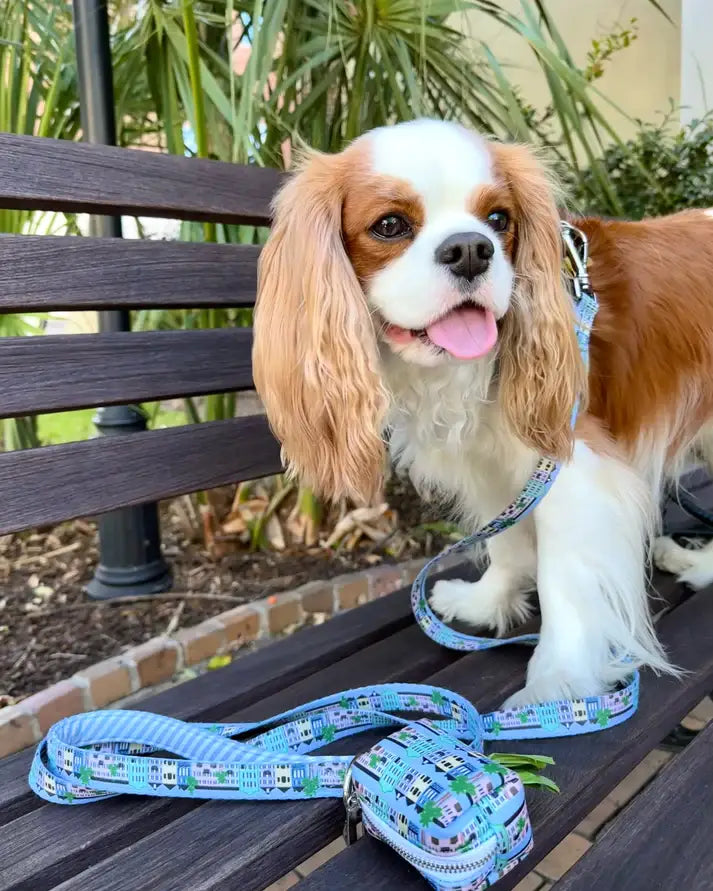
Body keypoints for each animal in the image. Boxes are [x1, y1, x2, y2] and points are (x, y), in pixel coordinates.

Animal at [252, 118, 713, 708]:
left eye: (498, 220)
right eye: (390, 225)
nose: (471, 248)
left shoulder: (575, 469)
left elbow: (564, 577)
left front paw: (557, 681)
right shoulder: (494, 468)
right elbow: (507, 541)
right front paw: (487, 602)